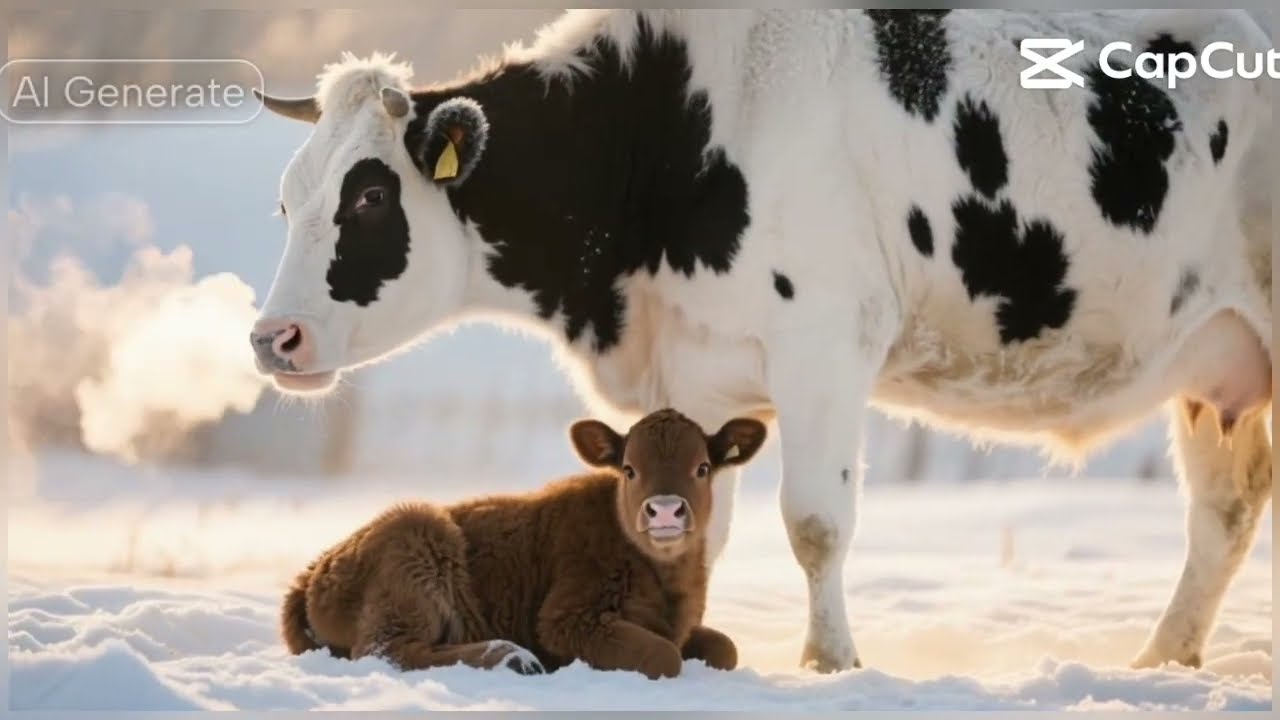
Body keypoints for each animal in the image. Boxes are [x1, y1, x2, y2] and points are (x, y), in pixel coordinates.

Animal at [250, 10, 1273, 673]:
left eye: (369, 196)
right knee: (1226, 509)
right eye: (286, 200)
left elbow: (817, 523)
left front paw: (831, 665)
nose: (271, 338)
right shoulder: (694, 376)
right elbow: (698, 529)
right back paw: (1163, 662)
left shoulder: (824, 343)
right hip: (1218, 367)